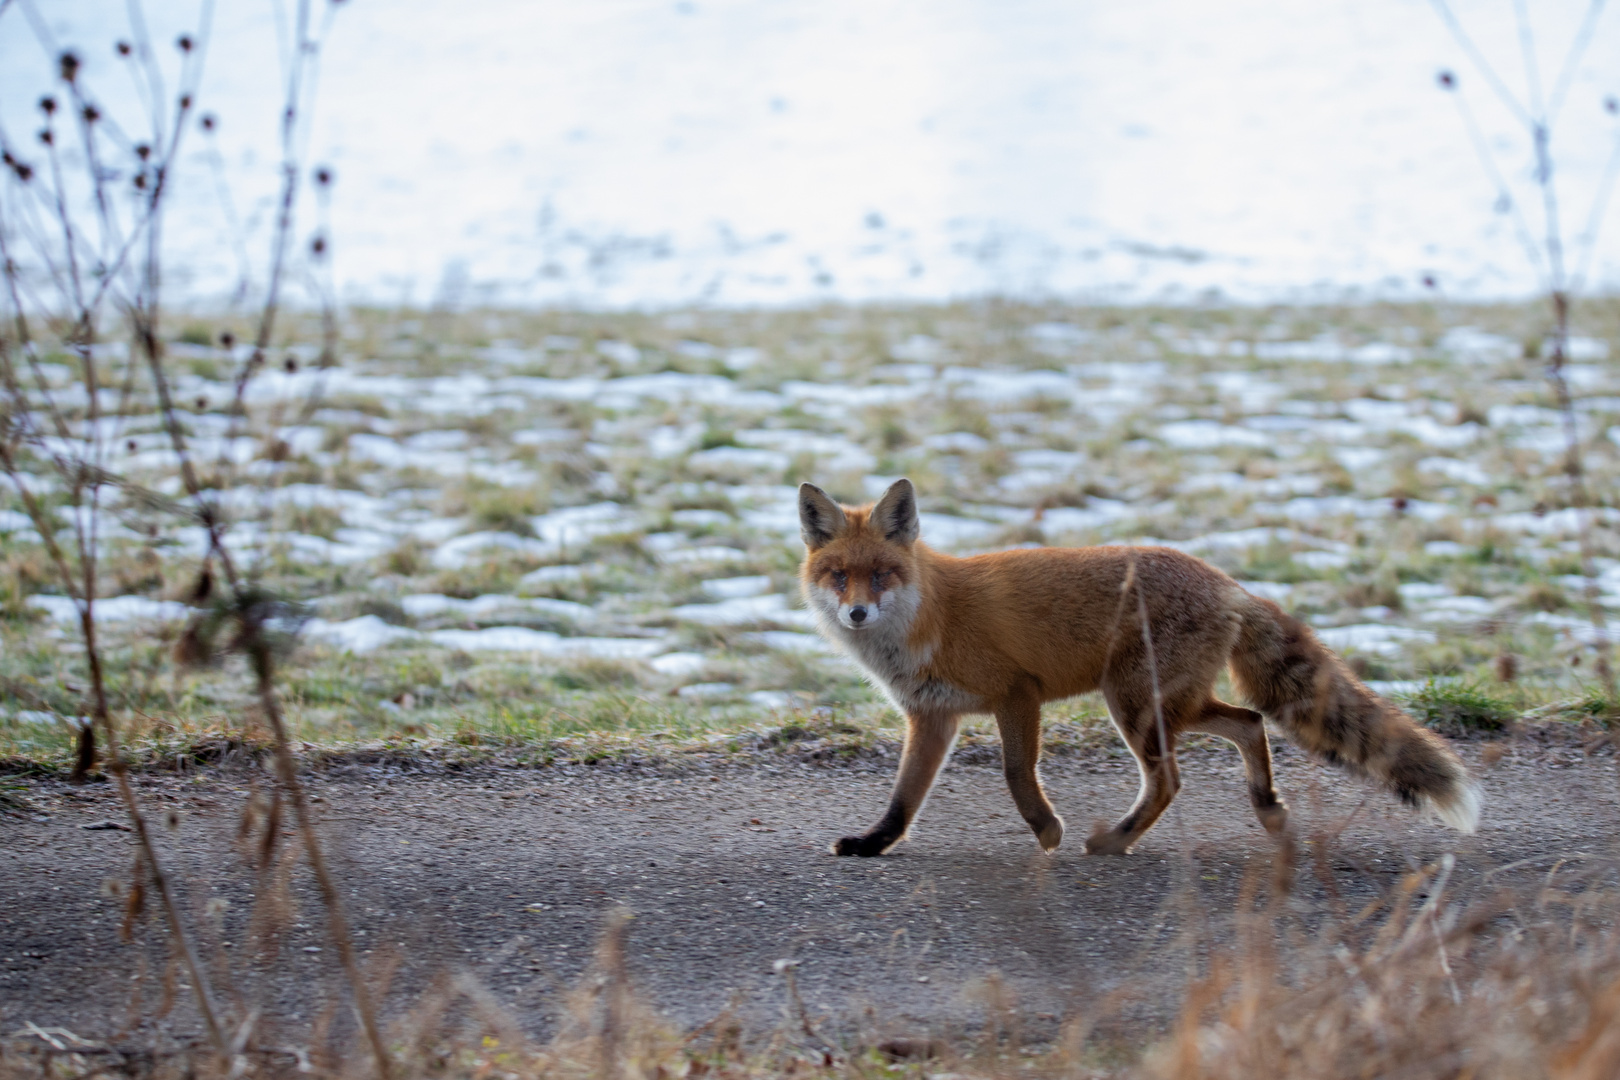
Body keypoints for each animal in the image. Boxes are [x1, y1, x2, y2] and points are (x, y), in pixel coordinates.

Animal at [797, 476, 1483, 854]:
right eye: (839, 576)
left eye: (882, 575)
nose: (857, 613)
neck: (928, 621)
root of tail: (1227, 582)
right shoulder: (932, 718)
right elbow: (902, 800)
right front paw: (872, 846)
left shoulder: (1017, 693)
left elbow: (1016, 773)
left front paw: (1047, 831)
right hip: (1166, 705)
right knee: (1248, 724)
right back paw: (1266, 806)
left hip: (1132, 705)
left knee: (1172, 779)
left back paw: (1117, 841)